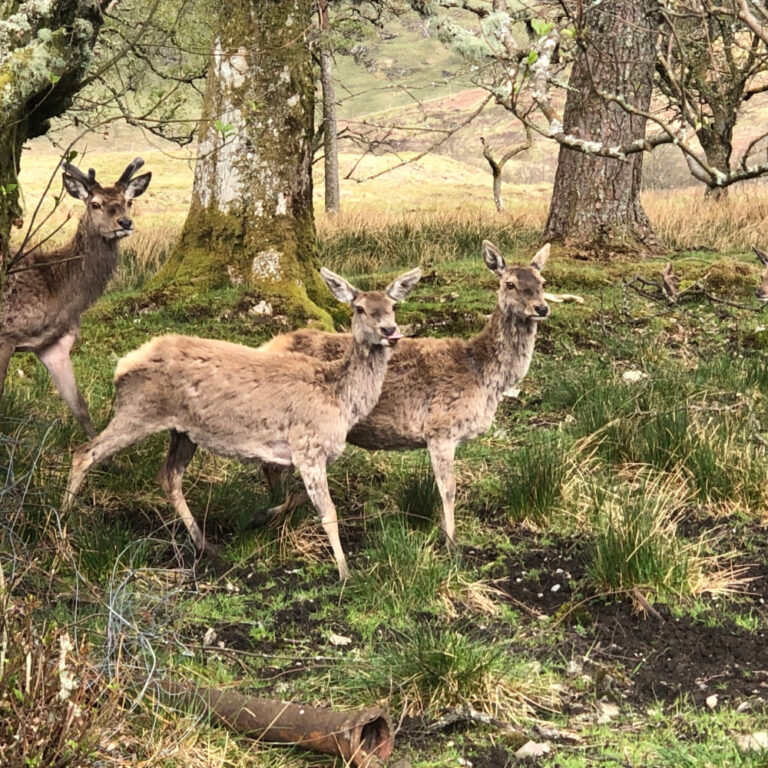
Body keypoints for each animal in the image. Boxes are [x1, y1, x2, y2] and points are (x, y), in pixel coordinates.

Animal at [0, 159, 152, 438]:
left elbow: (80, 408)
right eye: (96, 204)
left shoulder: (54, 345)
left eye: (128, 201)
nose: (125, 223)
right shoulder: (7, 334)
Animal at [63, 267, 421, 580]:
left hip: (183, 431)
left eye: (393, 306)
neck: (340, 399)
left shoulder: (290, 455)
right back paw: (64, 529)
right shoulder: (307, 445)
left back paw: (207, 546)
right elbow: (328, 512)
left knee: (168, 476)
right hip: (138, 409)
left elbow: (291, 499)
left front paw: (257, 519)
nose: (390, 331)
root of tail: (121, 366)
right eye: (359, 308)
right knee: (85, 453)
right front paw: (345, 572)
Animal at [258, 241, 550, 549]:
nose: (541, 307)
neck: (482, 375)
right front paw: (451, 543)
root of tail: (266, 345)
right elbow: (448, 488)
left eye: (542, 282)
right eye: (510, 283)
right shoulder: (440, 427)